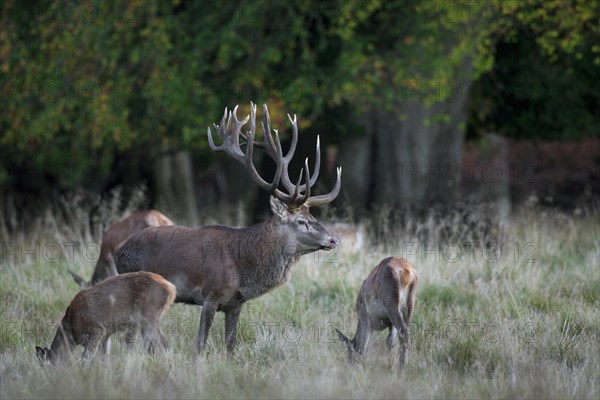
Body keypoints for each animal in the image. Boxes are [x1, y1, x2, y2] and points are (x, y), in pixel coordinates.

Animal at [35, 270, 176, 364]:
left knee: (165, 345)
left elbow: (85, 358)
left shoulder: (97, 329)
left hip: (148, 317)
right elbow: (104, 358)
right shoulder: (105, 335)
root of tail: (171, 287)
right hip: (139, 324)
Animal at [116, 104, 342, 356]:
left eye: (313, 216)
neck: (243, 268)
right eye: (301, 221)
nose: (332, 240)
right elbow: (200, 344)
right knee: (129, 337)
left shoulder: (235, 304)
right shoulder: (210, 295)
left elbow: (230, 345)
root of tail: (118, 251)